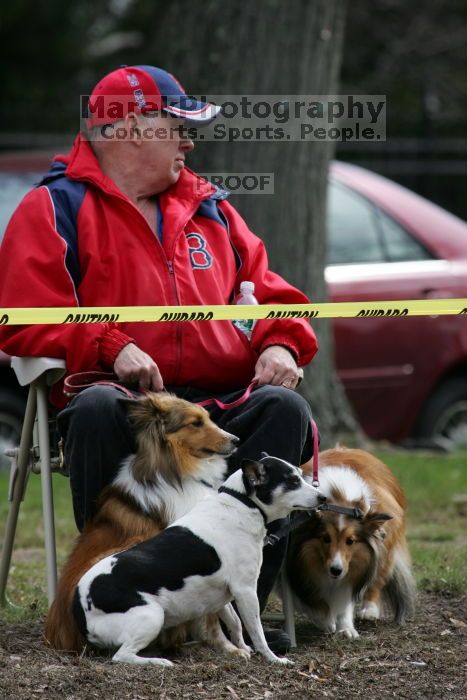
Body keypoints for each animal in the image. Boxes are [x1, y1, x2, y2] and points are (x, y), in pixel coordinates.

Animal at [45, 394, 239, 652]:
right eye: (196, 423)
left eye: (208, 418)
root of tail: (58, 635)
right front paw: (228, 647)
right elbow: (211, 613)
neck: (174, 472)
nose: (236, 440)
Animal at [73, 454, 324, 668]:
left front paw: (242, 648)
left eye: (300, 475)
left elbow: (235, 623)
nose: (322, 497)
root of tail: (78, 605)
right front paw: (273, 658)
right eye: (292, 481)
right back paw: (158, 662)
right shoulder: (245, 591)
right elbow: (257, 631)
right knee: (121, 656)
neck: (242, 504)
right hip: (152, 615)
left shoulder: (224, 595)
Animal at [288, 448, 414, 640]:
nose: (336, 570)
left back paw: (369, 610)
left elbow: (346, 598)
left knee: (377, 579)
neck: (338, 500)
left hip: (385, 546)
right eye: (325, 538)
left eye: (350, 541)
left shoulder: (355, 564)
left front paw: (346, 628)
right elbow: (312, 600)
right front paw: (326, 620)